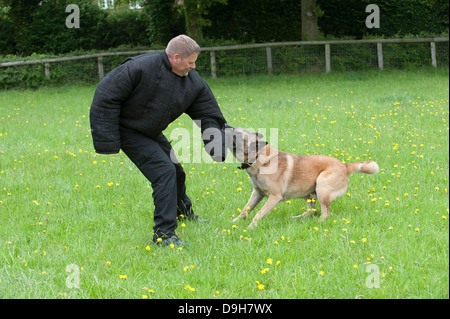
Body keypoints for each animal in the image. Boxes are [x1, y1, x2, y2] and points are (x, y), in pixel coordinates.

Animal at [225, 124, 380, 229]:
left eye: (237, 133)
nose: (226, 126)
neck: (258, 158)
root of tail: (344, 165)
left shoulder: (274, 197)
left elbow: (258, 214)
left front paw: (250, 227)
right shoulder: (257, 193)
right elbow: (245, 210)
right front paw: (234, 222)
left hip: (321, 186)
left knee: (325, 214)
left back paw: (316, 224)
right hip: (309, 194)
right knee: (313, 211)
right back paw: (296, 219)